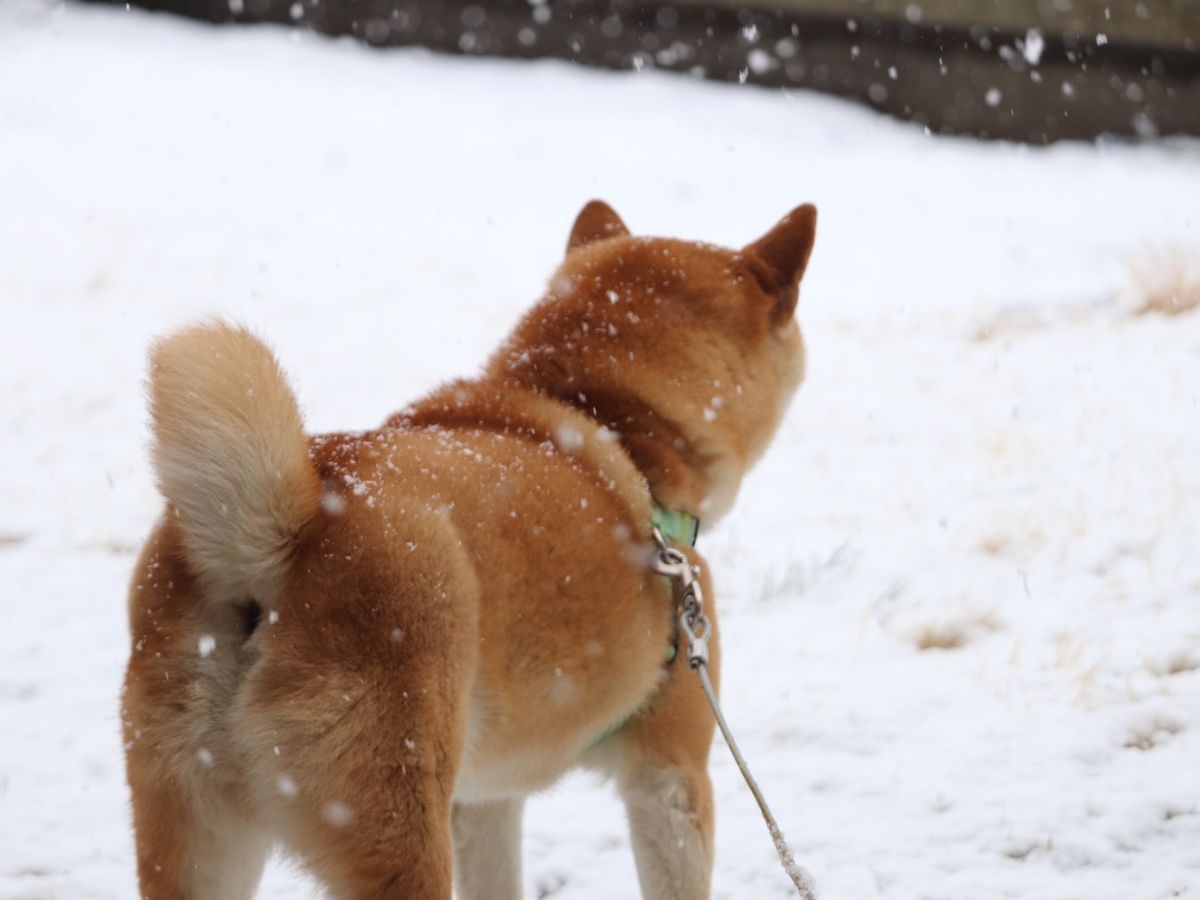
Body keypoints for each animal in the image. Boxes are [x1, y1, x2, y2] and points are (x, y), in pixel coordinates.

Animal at [124, 202, 816, 900]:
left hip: (198, 842)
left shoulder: (485, 802)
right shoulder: (669, 779)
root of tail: (290, 528)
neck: (609, 420)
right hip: (400, 832)